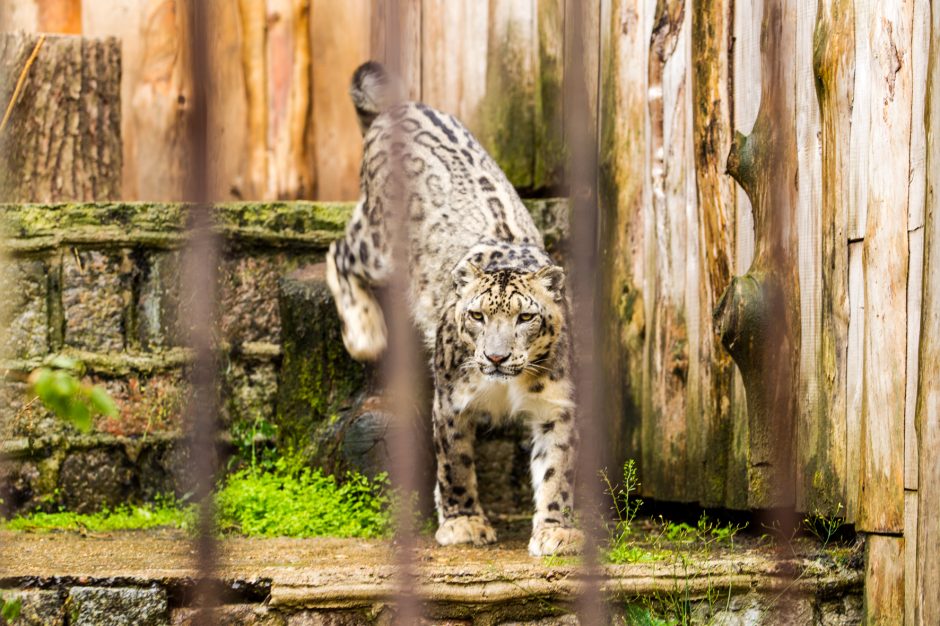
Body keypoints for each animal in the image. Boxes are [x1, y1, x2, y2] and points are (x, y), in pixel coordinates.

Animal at [328, 61, 580, 552]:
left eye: (525, 316)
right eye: (477, 316)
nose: (496, 357)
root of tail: (399, 108)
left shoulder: (555, 404)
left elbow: (557, 469)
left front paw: (556, 531)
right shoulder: (450, 398)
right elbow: (455, 462)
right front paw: (464, 523)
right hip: (379, 245)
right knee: (339, 250)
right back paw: (367, 334)